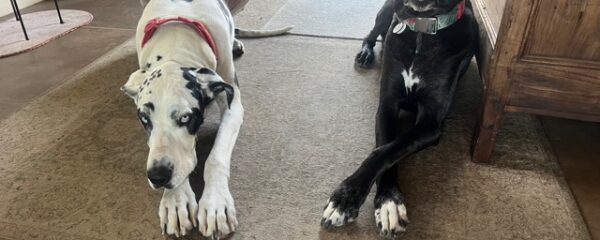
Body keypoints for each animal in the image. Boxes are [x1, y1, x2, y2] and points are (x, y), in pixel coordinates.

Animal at [322, 0, 480, 237]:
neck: (422, 29)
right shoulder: (387, 106)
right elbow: (383, 147)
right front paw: (374, 200)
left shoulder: (431, 122)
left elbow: (387, 150)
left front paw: (368, 201)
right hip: (385, 12)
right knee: (371, 35)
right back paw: (365, 54)